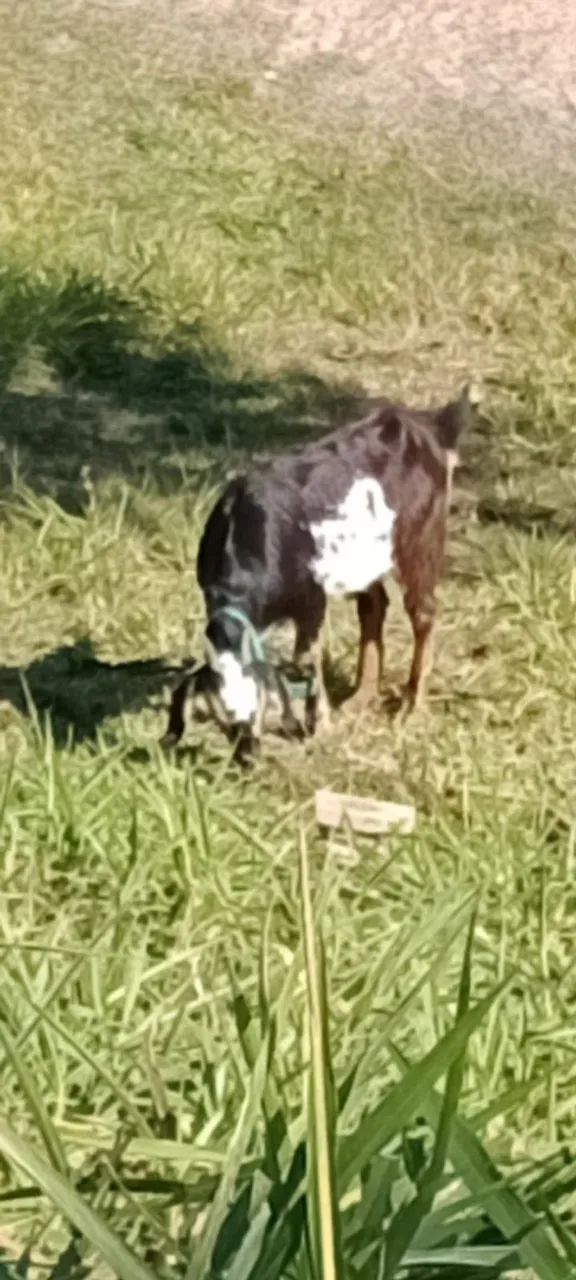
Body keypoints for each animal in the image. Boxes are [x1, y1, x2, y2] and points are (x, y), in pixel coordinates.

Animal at [162, 385, 470, 752]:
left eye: (256, 713)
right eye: (222, 722)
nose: (246, 757)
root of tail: (430, 426)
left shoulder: (311, 598)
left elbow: (305, 658)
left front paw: (320, 727)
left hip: (421, 537)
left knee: (422, 610)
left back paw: (411, 706)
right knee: (374, 605)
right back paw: (361, 696)